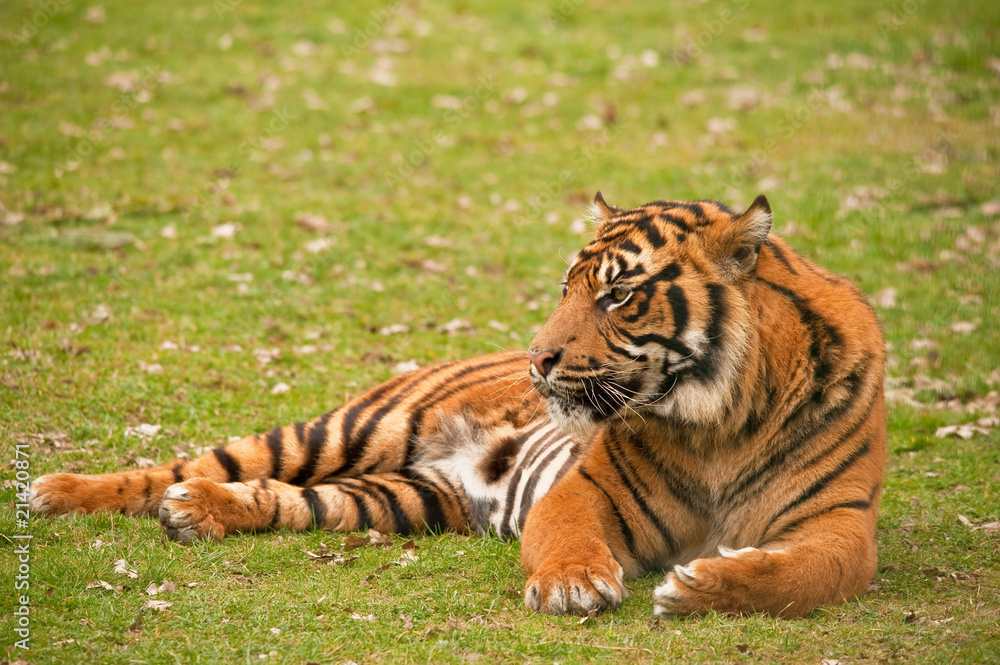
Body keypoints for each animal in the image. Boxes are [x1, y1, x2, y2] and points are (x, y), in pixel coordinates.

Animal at [29, 192, 886, 618]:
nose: (539, 360)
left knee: (281, 497)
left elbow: (810, 573)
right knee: (187, 464)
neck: (720, 420)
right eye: (568, 287)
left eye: (618, 294)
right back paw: (59, 490)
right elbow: (565, 536)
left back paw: (198, 511)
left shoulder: (841, 522)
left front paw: (702, 585)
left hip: (397, 497)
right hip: (342, 429)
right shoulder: (588, 489)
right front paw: (573, 585)